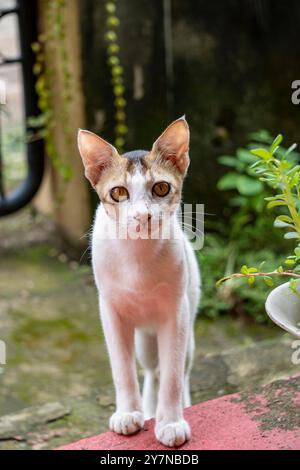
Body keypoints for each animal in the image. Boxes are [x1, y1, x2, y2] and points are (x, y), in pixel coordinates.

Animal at [77, 117, 200, 448]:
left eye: (161, 188)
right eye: (119, 193)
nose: (142, 215)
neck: (137, 259)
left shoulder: (176, 312)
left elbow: (171, 375)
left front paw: (171, 422)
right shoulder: (110, 311)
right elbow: (122, 369)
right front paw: (129, 413)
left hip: (186, 332)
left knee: (175, 371)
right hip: (145, 340)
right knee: (149, 369)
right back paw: (146, 408)